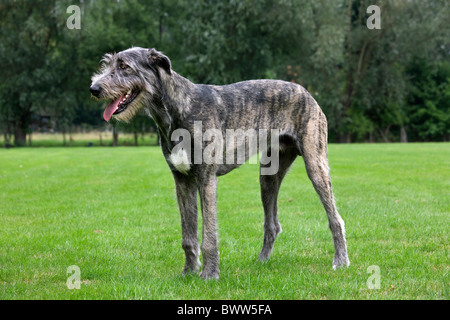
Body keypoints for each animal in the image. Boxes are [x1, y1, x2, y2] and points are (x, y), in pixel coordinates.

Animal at [89, 47, 350, 280]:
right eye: (108, 63)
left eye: (124, 66)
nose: (94, 88)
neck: (178, 109)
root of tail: (306, 91)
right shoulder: (182, 180)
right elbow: (188, 234)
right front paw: (188, 272)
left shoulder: (206, 179)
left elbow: (209, 235)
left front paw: (209, 274)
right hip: (268, 176)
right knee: (272, 224)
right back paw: (261, 261)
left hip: (315, 164)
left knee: (335, 218)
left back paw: (341, 260)